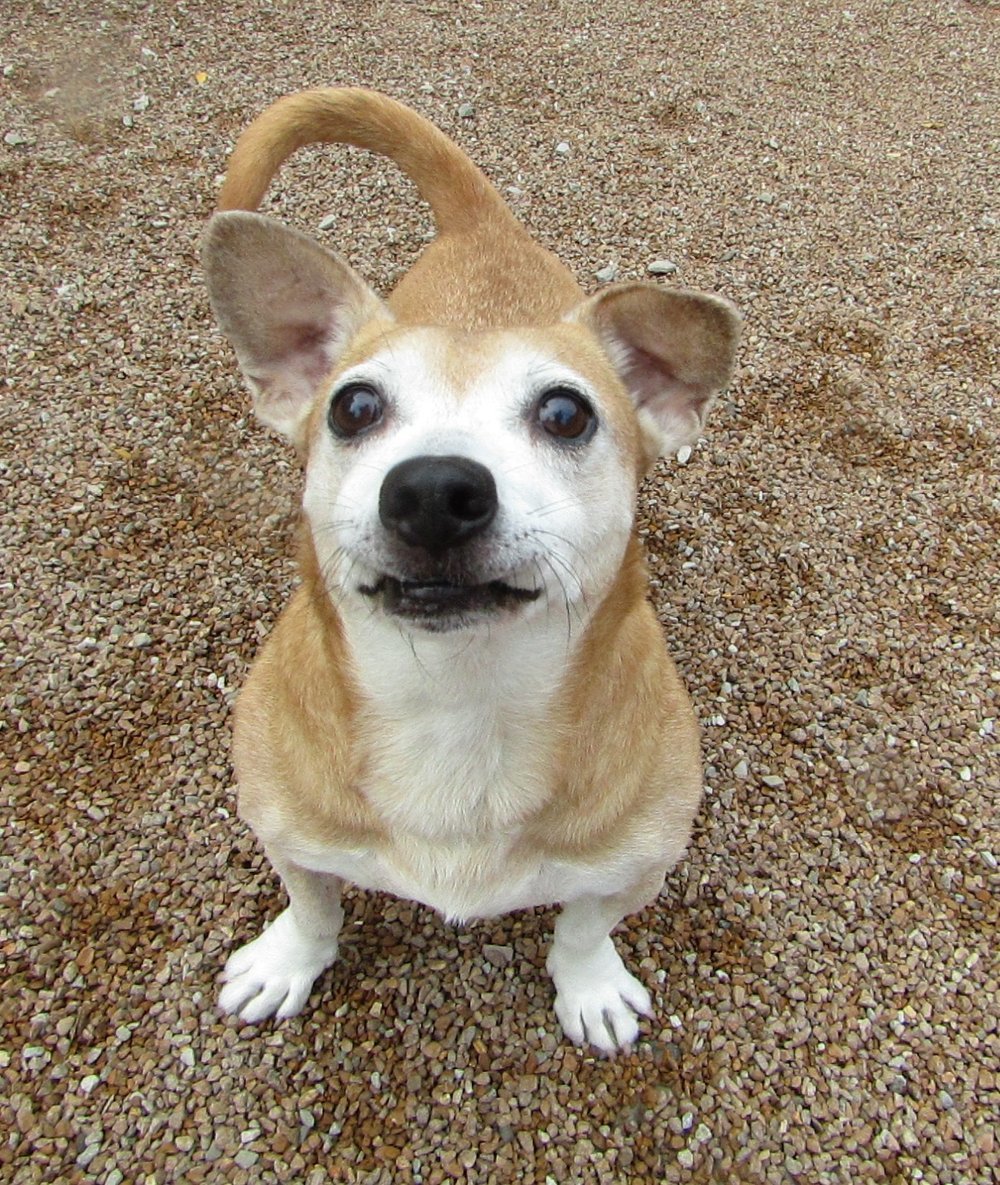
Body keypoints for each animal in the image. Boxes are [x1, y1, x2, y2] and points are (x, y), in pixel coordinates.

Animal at [199, 87, 739, 1052]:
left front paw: (589, 985)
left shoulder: (639, 857)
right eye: (354, 406)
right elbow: (313, 902)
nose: (434, 489)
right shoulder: (284, 827)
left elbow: (584, 923)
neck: (457, 700)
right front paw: (287, 960)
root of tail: (483, 223)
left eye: (566, 412)